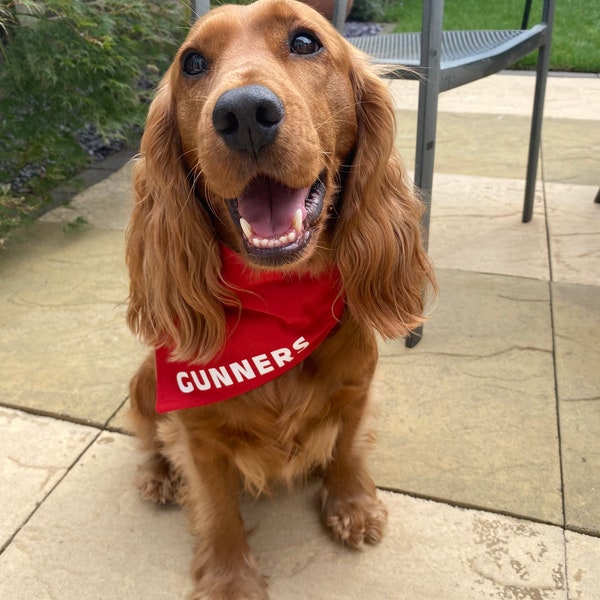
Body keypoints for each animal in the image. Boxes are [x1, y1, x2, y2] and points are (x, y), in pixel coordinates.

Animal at [126, 1, 436, 596]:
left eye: (305, 42)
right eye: (193, 62)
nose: (245, 112)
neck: (279, 301)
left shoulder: (357, 387)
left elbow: (347, 447)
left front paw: (352, 503)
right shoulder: (197, 433)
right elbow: (217, 507)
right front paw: (230, 580)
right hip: (145, 381)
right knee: (151, 437)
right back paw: (156, 476)